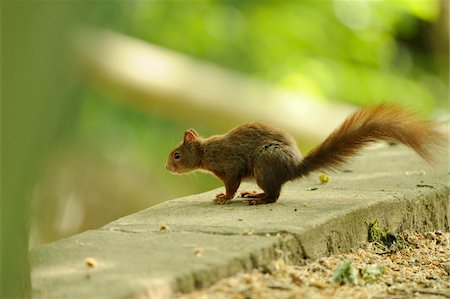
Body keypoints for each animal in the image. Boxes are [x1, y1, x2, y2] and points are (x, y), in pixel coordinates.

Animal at [167, 104, 444, 205]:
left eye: (177, 155)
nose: (167, 167)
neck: (206, 152)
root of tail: (292, 168)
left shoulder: (230, 165)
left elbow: (232, 184)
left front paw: (224, 197)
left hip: (264, 164)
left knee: (274, 195)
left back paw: (257, 198)